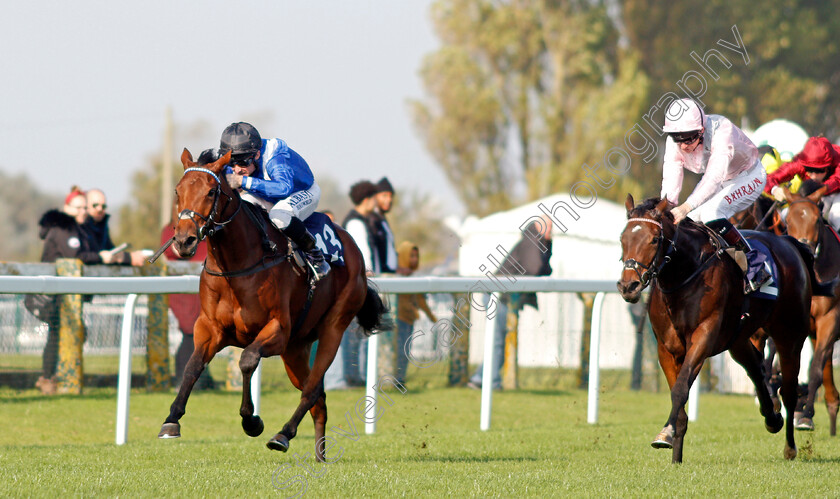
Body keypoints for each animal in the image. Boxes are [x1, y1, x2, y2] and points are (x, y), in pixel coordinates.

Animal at [158, 147, 388, 458]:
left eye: (210, 192)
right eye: (177, 190)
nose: (184, 241)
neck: (238, 266)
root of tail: (353, 247)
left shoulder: (277, 330)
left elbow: (246, 361)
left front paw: (252, 421)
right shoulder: (210, 328)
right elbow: (192, 366)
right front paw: (171, 420)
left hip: (332, 329)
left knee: (312, 390)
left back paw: (283, 435)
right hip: (296, 349)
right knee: (319, 399)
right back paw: (319, 455)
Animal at [612, 196, 816, 464]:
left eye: (654, 239)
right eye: (623, 238)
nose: (629, 286)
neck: (683, 276)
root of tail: (788, 243)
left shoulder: (704, 336)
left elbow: (680, 389)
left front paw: (666, 434)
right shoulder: (666, 348)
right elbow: (678, 390)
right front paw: (674, 451)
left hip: (789, 334)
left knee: (789, 390)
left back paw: (790, 447)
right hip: (737, 338)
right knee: (755, 369)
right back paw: (772, 418)